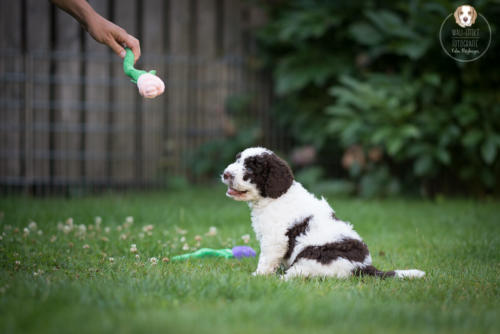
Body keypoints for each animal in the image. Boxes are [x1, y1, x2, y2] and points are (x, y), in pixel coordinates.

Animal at [223, 147, 426, 280]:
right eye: (237, 160)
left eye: (250, 168)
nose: (225, 174)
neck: (274, 197)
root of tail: (362, 267)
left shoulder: (275, 238)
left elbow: (266, 259)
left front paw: (258, 276)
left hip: (312, 256)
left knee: (300, 273)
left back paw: (283, 279)